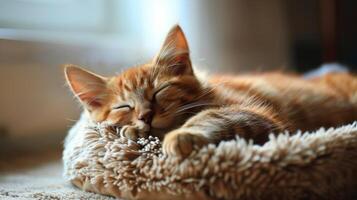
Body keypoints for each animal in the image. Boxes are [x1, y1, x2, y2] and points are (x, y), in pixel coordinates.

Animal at [64, 24, 356, 158]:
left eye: (160, 91)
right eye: (123, 106)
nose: (145, 116)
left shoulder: (255, 113)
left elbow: (214, 116)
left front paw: (183, 134)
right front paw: (134, 130)